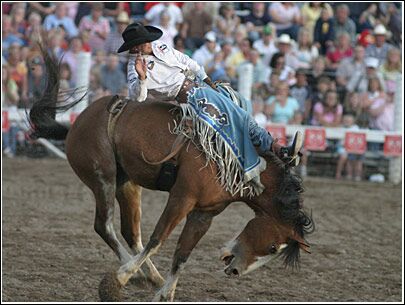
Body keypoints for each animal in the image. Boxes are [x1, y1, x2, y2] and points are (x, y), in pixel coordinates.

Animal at [29, 46, 312, 300]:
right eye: (273, 247)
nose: (235, 271)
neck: (236, 162)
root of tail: (75, 125)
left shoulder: (204, 213)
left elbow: (182, 253)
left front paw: (166, 293)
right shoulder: (182, 197)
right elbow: (158, 238)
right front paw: (116, 281)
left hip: (127, 183)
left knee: (131, 232)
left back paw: (152, 277)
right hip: (103, 177)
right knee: (104, 225)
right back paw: (136, 275)